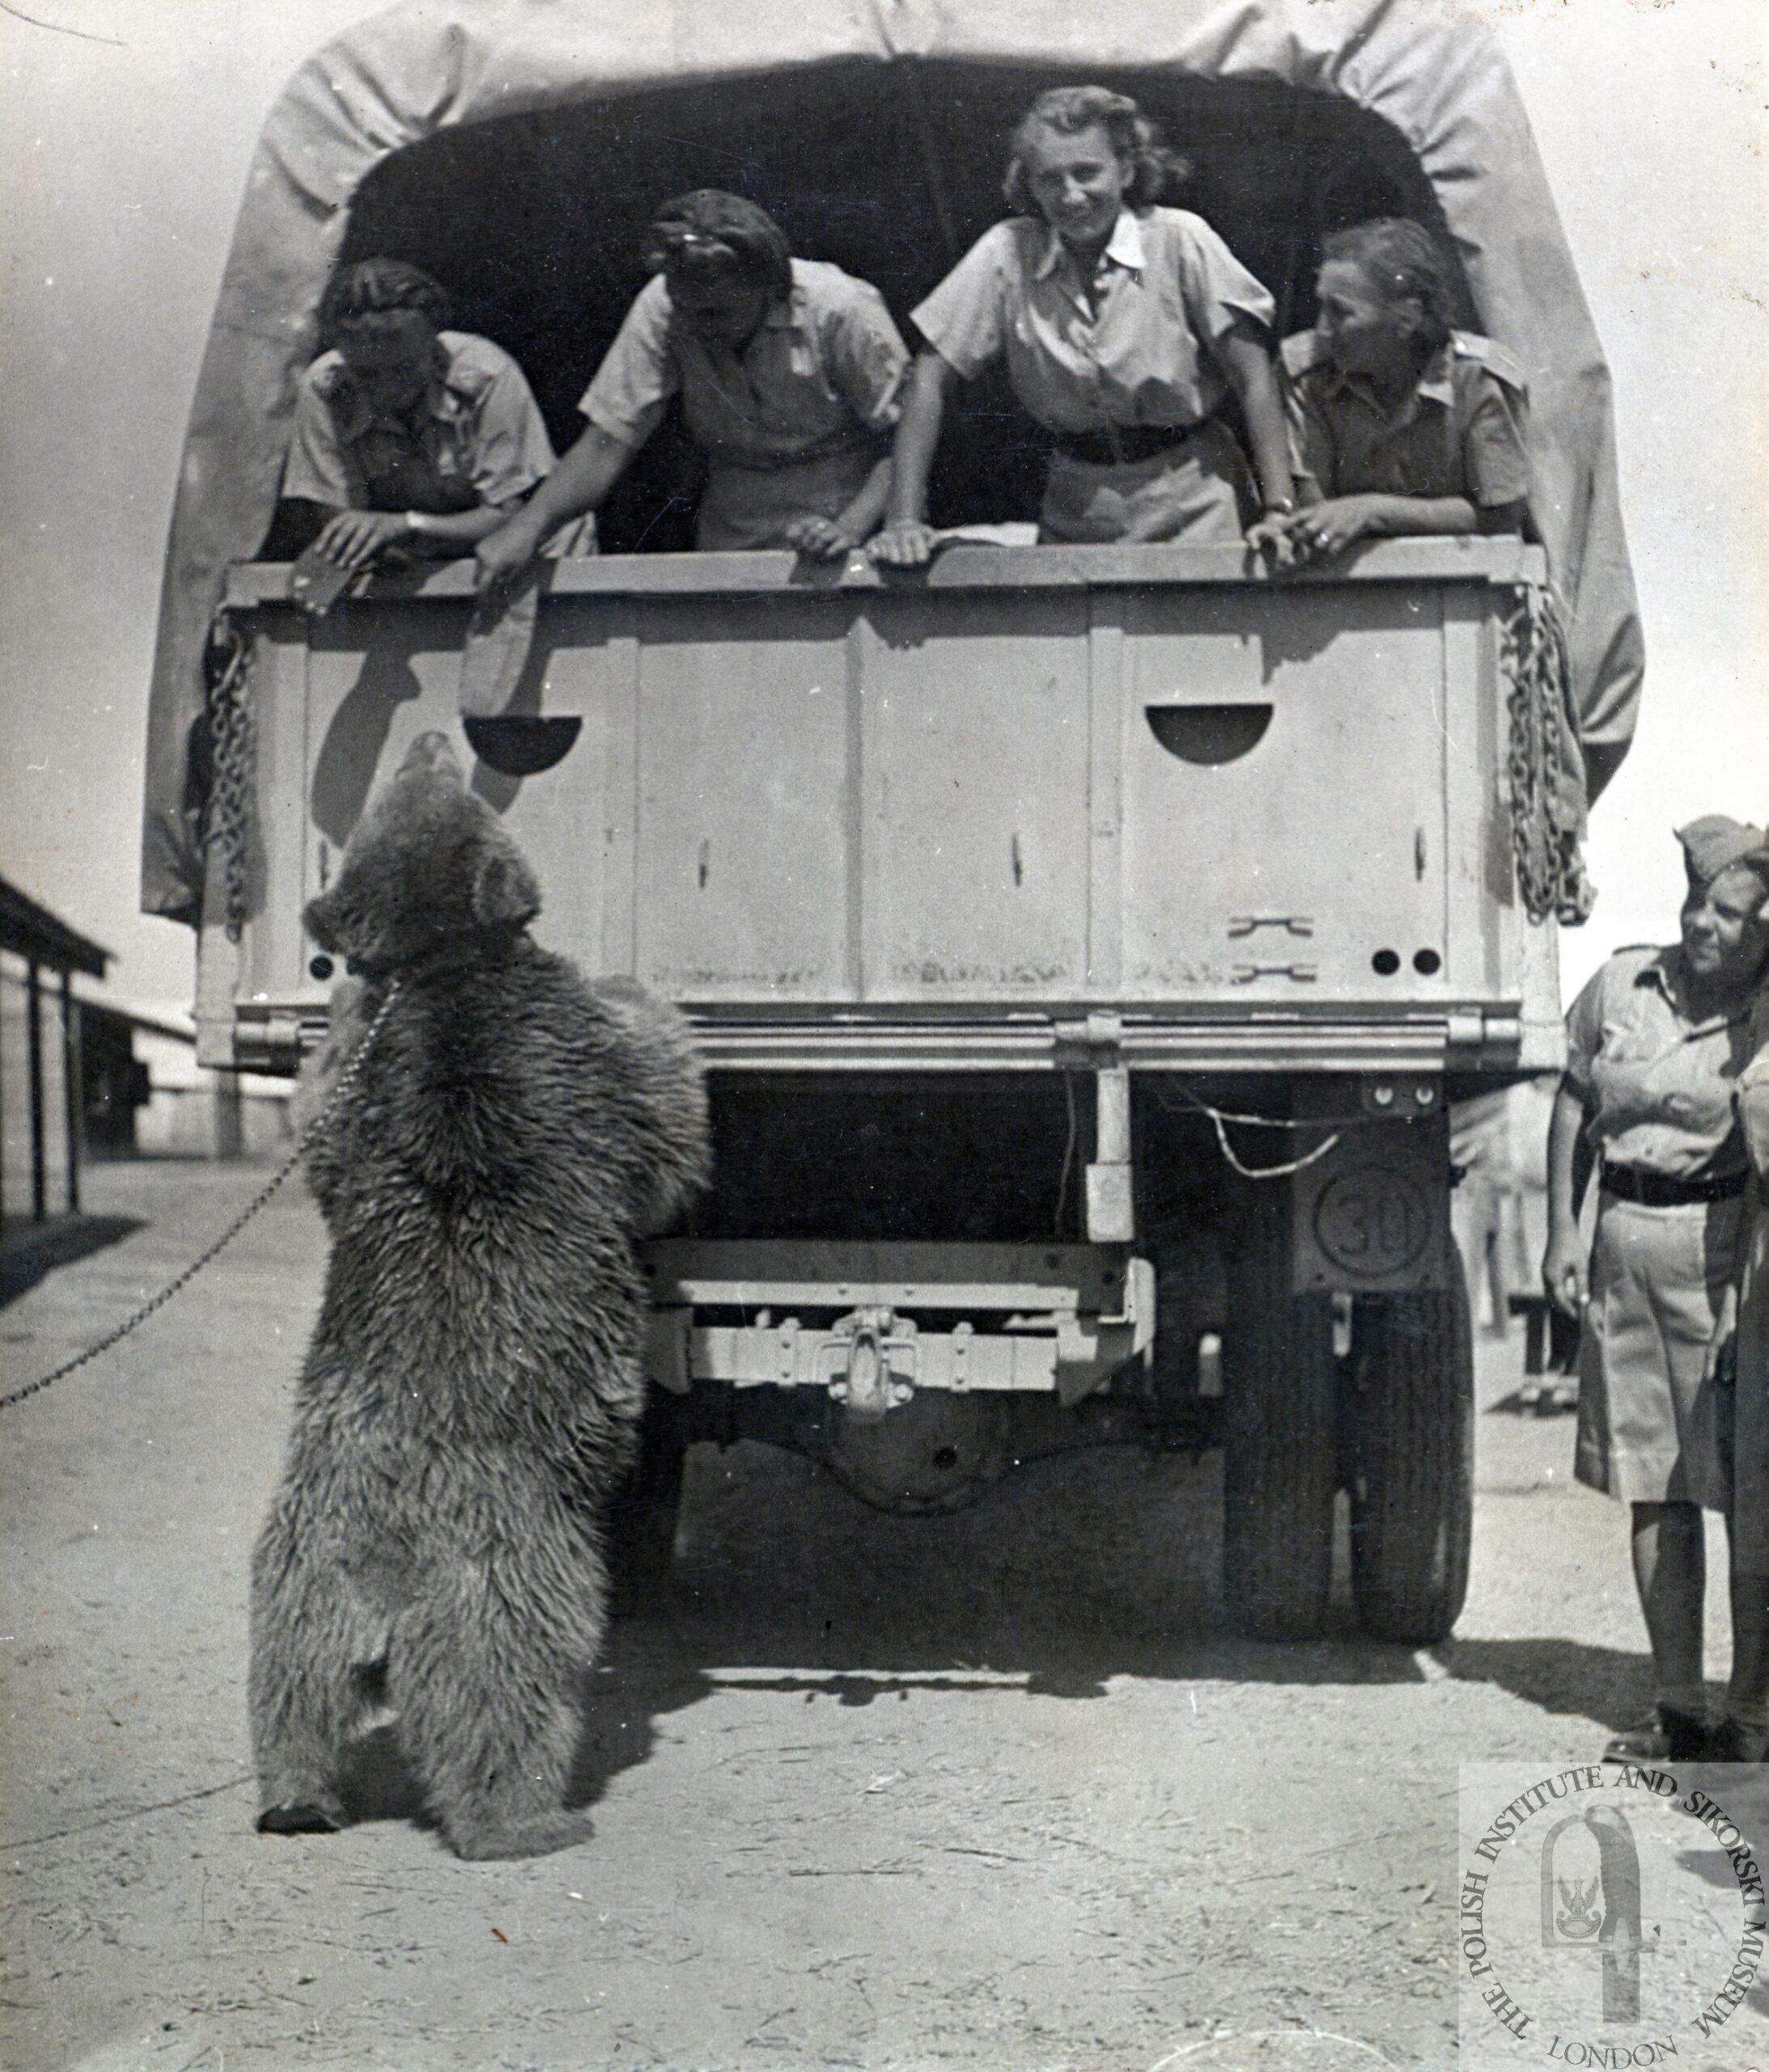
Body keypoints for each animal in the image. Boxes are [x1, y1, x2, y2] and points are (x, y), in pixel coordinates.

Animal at [249, 737, 708, 1873]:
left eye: (397, 788)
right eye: (435, 784)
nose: (430, 737)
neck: (437, 962)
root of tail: (378, 1569)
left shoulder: (353, 1060)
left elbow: (323, 1122)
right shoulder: (577, 1053)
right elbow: (661, 1115)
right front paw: (653, 997)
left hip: (298, 1570)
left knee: (293, 1687)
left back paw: (296, 1793)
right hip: (511, 1566)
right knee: (501, 1687)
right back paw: (527, 1820)